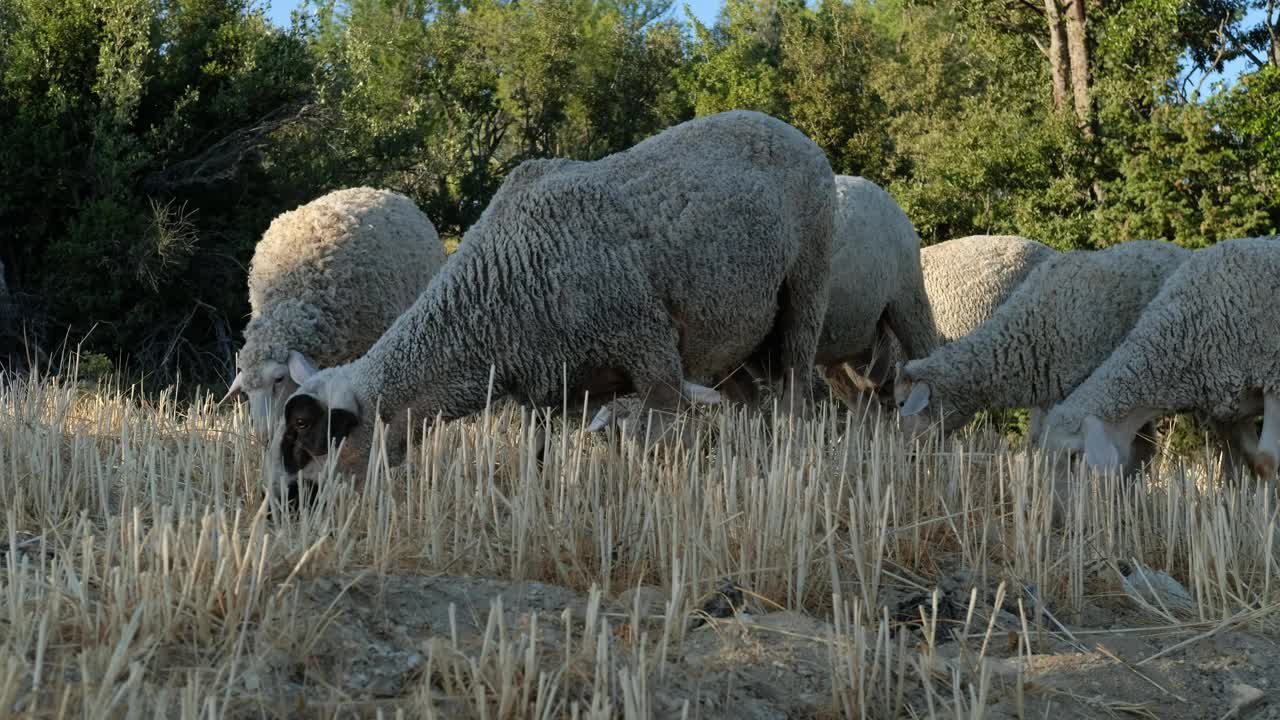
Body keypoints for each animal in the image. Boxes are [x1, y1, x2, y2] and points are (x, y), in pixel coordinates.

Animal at [270, 109, 839, 497]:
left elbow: (654, 444)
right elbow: (539, 457)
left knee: (795, 392)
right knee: (751, 402)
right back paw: (754, 465)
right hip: (734, 333)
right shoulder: (543, 388)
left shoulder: (650, 352)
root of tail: (785, 127)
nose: (282, 503)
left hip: (806, 286)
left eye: (306, 427)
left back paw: (793, 463)